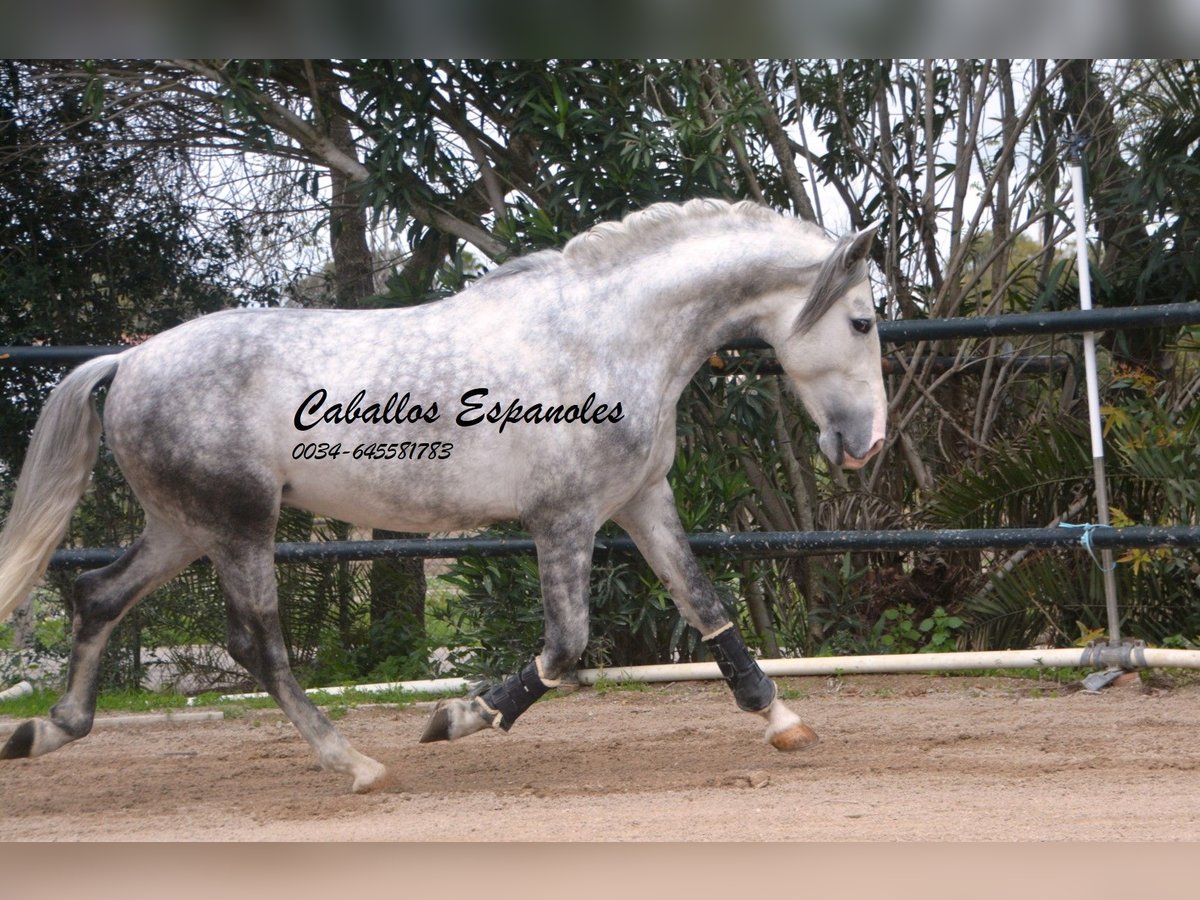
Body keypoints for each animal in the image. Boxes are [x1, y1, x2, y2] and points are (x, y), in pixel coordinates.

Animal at [0, 200, 883, 792]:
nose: (865, 444)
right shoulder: (564, 519)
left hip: (184, 526)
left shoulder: (641, 499)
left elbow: (705, 604)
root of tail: (129, 361)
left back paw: (46, 731)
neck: (604, 337)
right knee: (257, 646)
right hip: (239, 523)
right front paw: (459, 718)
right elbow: (567, 643)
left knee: (97, 594)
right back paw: (356, 764)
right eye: (866, 321)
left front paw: (783, 721)